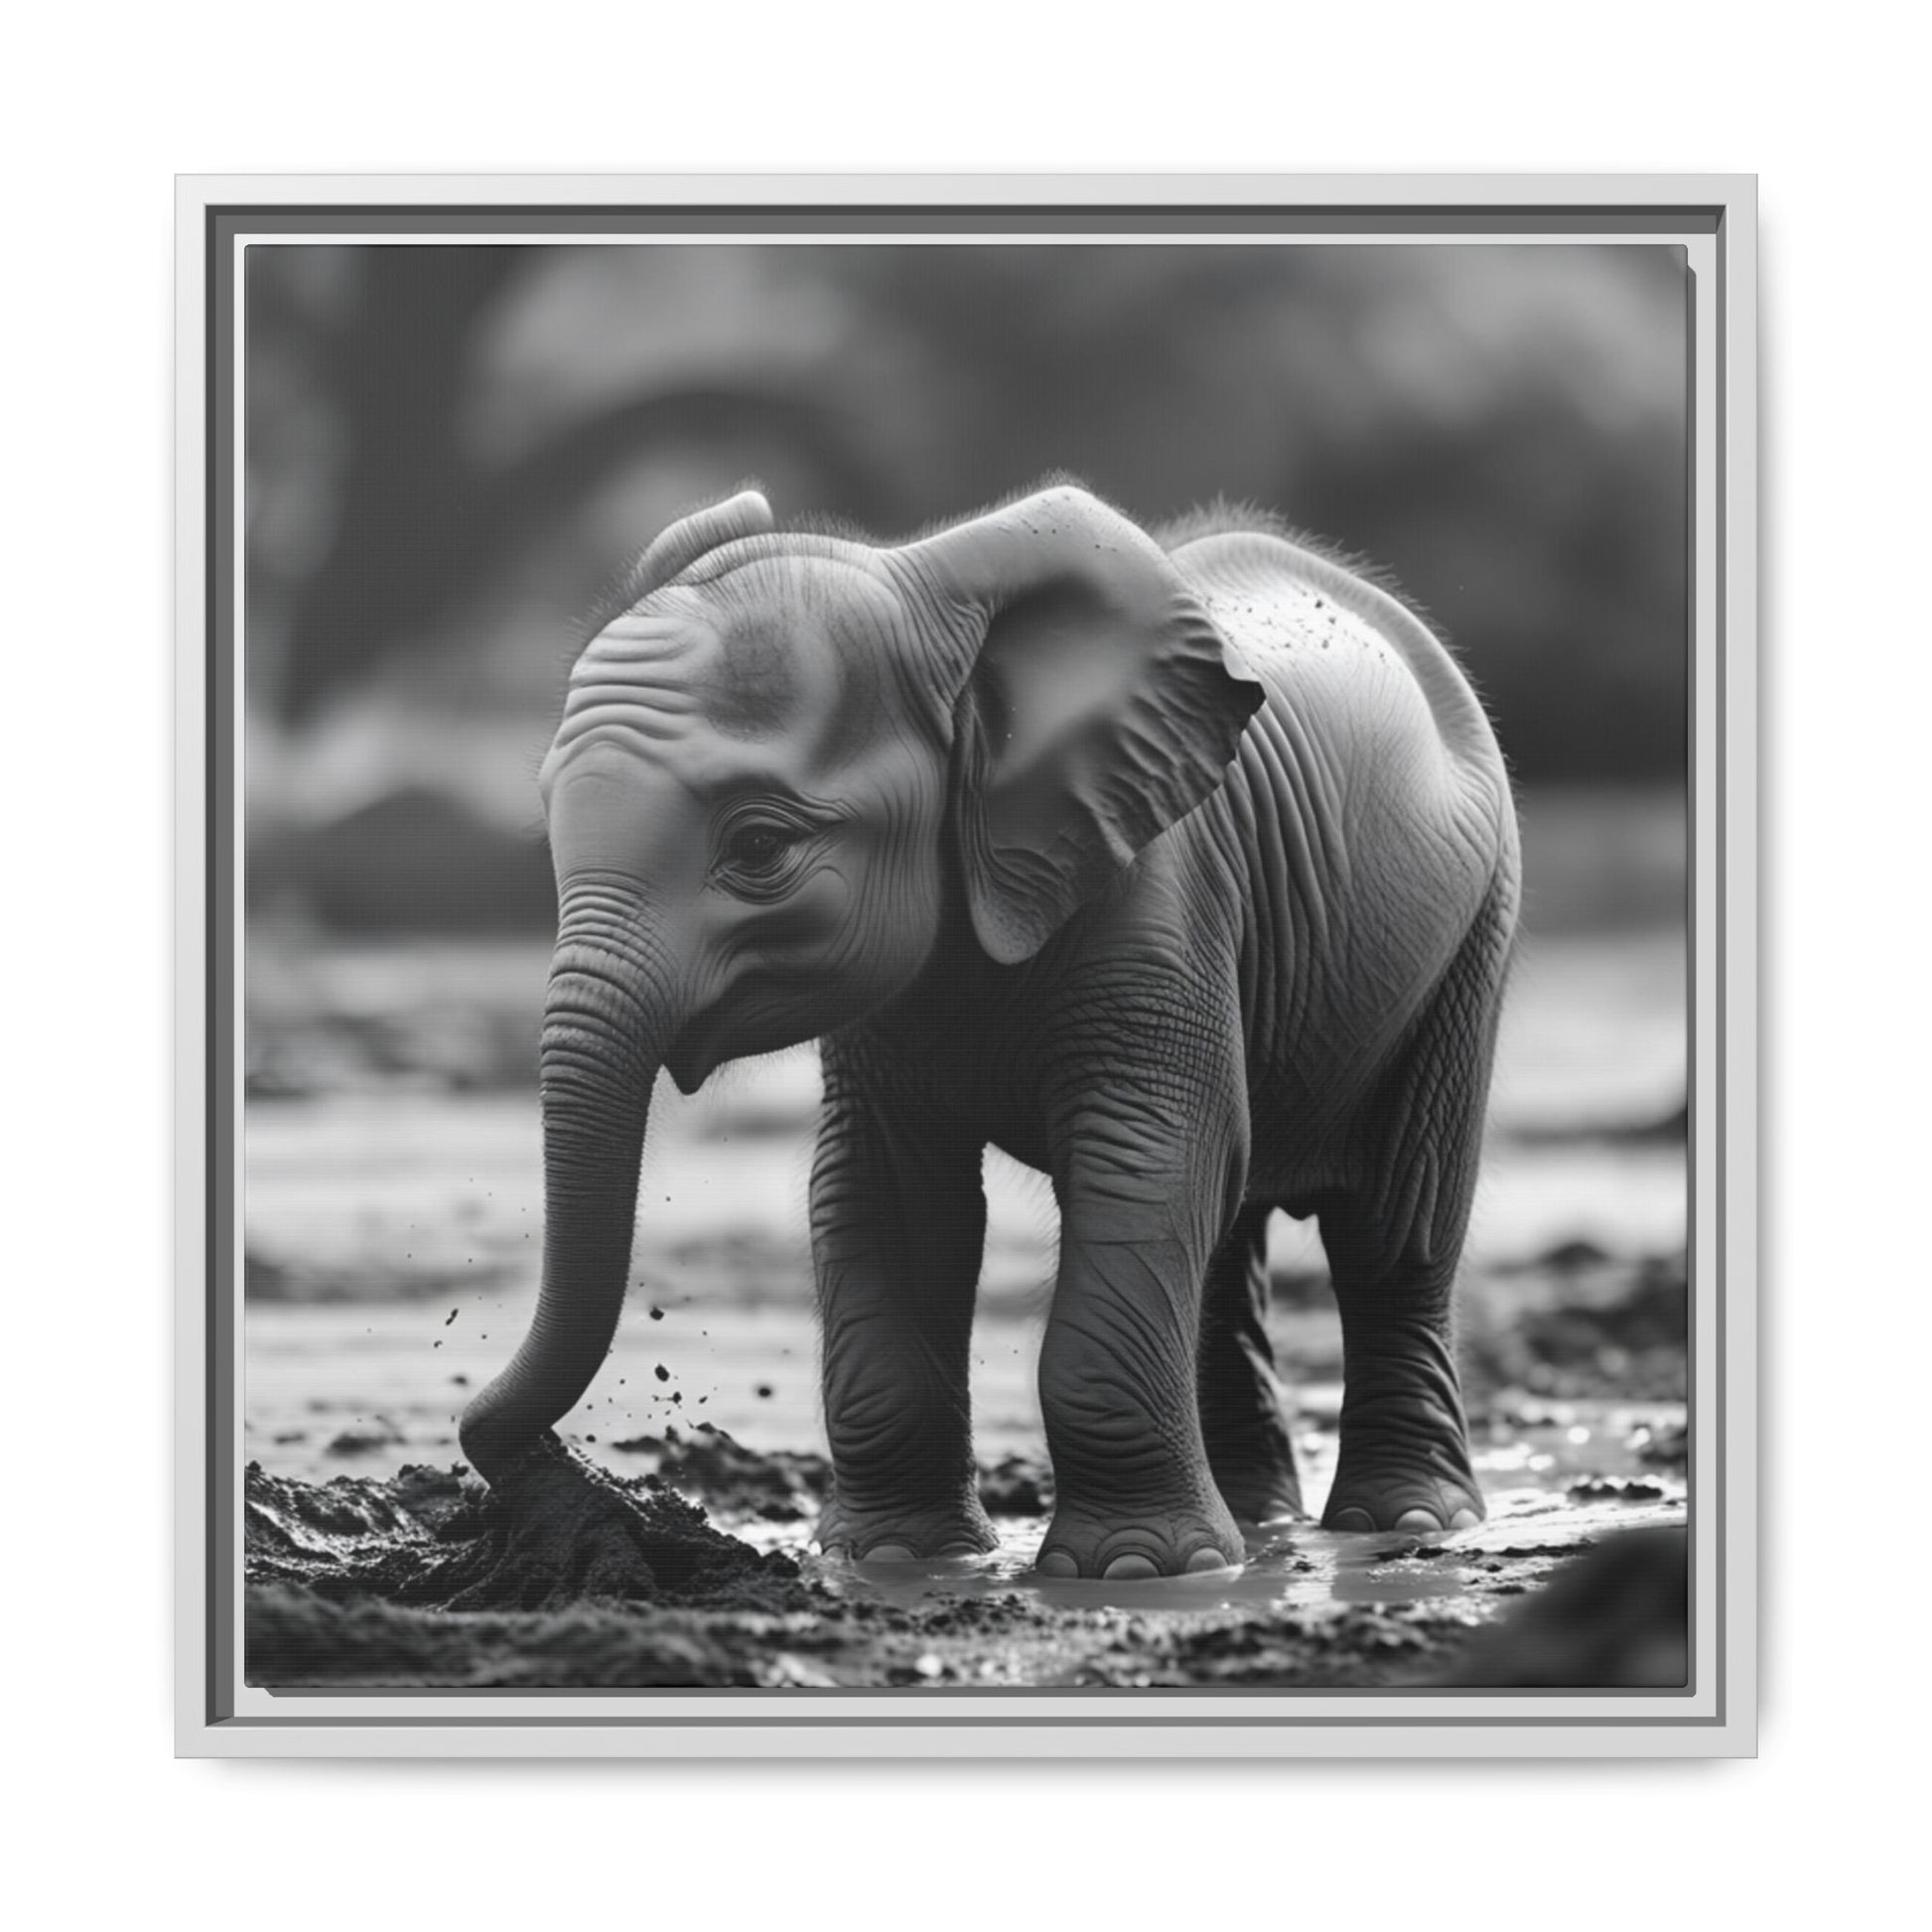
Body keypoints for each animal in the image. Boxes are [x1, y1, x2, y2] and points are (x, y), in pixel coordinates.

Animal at [458, 479, 1520, 1580]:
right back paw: (1258, 1525)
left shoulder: (1161, 890)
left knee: (1394, 1225)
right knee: (1230, 1237)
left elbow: (1144, 1158)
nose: (563, 1478)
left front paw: (1132, 1570)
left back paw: (1404, 1522)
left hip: (1471, 930)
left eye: (758, 847)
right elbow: (885, 1194)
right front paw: (894, 1559)